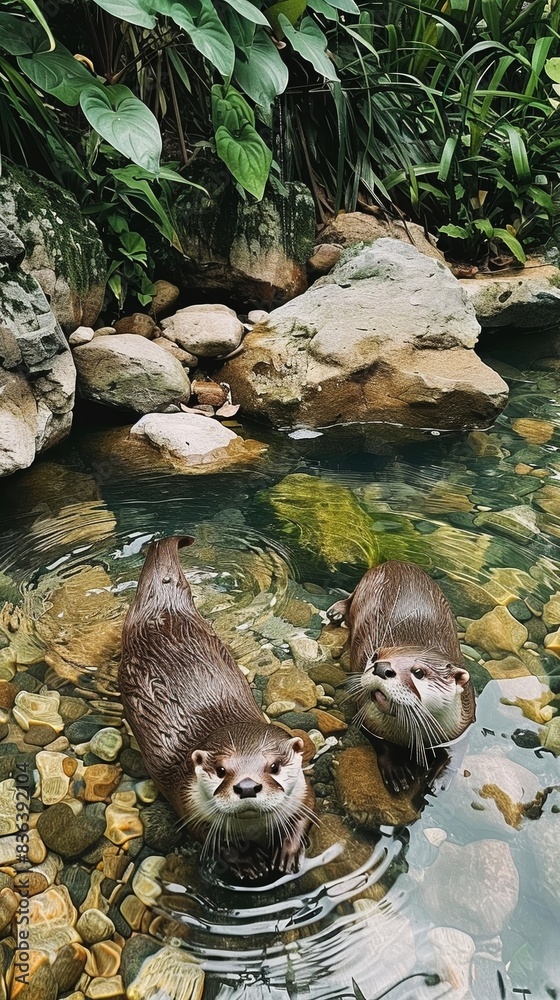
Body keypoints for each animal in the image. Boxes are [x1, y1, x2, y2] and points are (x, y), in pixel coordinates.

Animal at [119, 536, 315, 877]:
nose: (247, 786)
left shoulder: (305, 791)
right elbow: (211, 841)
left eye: (275, 767)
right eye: (222, 770)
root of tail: (163, 608)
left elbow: (307, 813)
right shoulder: (190, 808)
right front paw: (247, 862)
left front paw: (288, 850)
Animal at [327, 561, 475, 793]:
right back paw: (336, 612)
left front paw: (440, 778)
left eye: (419, 672)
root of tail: (393, 562)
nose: (381, 668)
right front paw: (397, 770)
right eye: (375, 656)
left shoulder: (464, 722)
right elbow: (380, 742)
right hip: (364, 586)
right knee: (351, 599)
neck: (410, 737)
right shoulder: (369, 717)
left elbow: (457, 752)